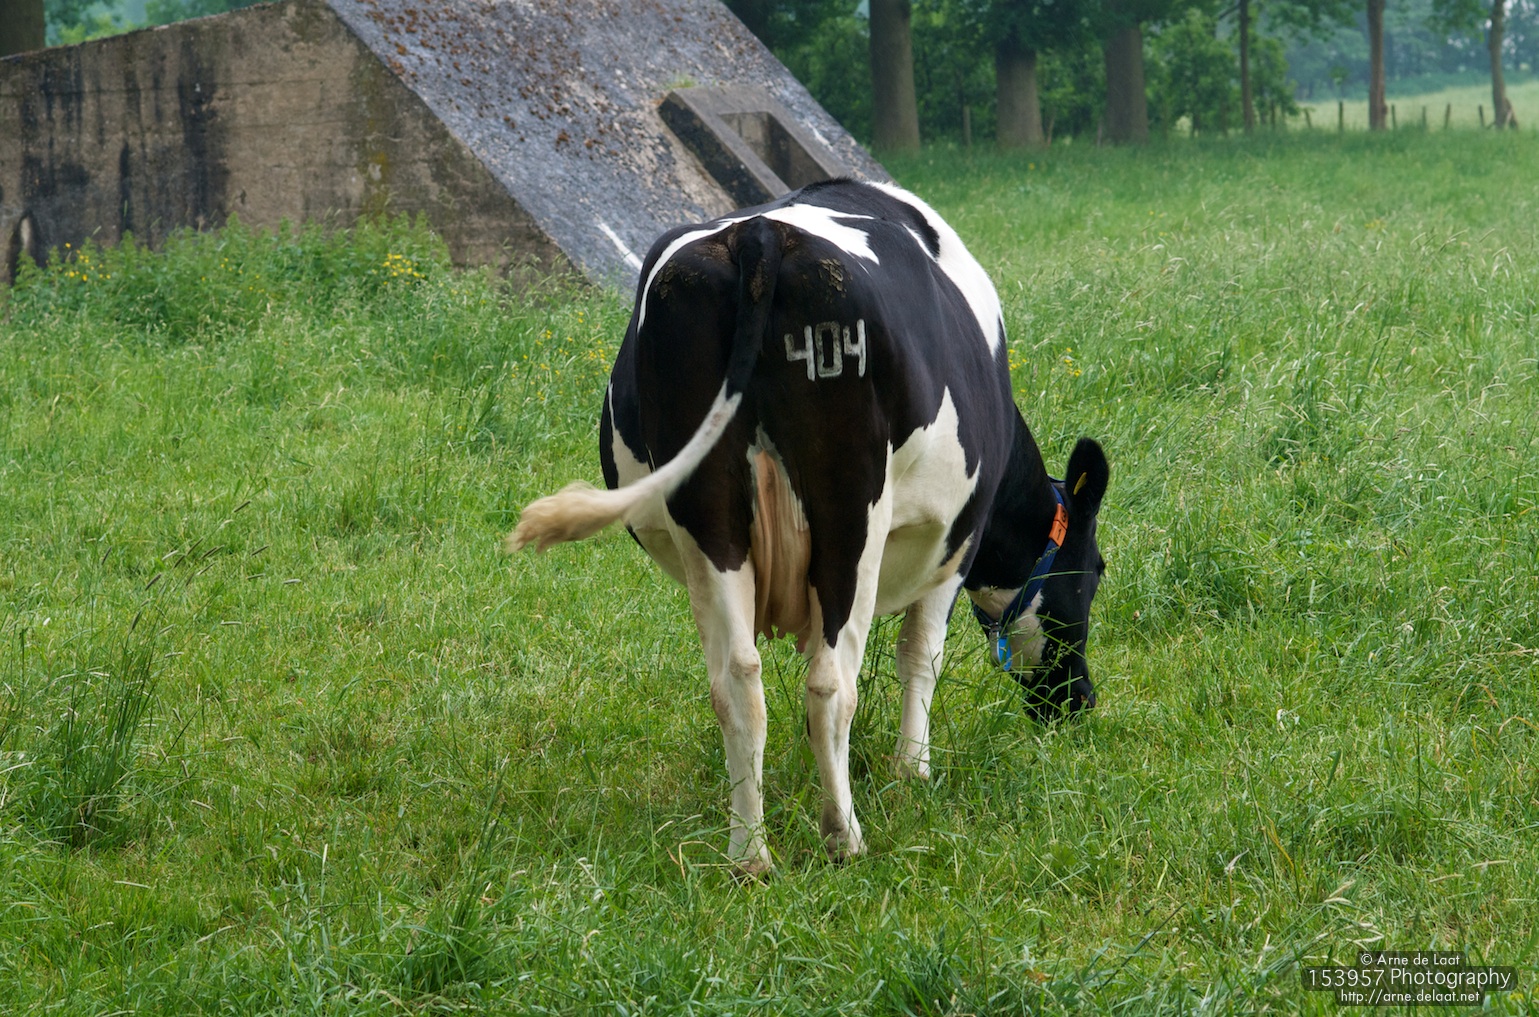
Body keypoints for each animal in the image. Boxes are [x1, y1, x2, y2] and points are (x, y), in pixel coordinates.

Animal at [509, 179, 1108, 874]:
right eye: (1095, 573)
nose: (1080, 701)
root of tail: (760, 237)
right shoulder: (956, 544)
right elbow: (920, 656)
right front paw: (913, 774)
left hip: (707, 518)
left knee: (736, 681)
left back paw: (750, 854)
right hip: (852, 516)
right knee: (830, 685)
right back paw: (843, 836)